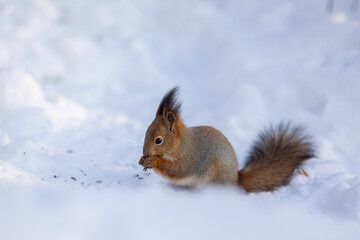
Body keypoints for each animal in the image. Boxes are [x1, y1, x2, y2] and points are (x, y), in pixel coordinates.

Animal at [139, 86, 314, 191]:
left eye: (158, 140)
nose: (145, 152)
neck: (180, 144)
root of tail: (234, 181)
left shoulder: (190, 156)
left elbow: (177, 169)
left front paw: (153, 161)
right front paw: (143, 159)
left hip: (214, 178)